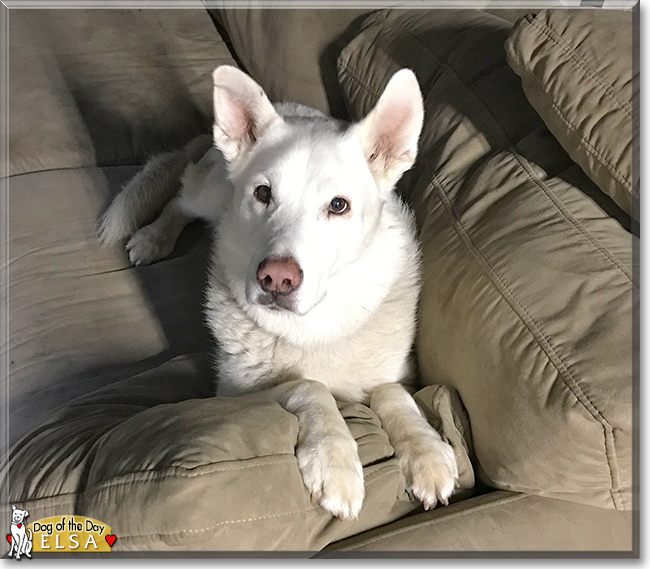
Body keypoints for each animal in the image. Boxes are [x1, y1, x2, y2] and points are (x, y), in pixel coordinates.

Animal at [98, 65, 458, 520]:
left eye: (338, 206)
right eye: (263, 193)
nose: (276, 279)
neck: (315, 324)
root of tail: (290, 105)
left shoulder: (399, 378)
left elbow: (392, 394)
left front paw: (425, 450)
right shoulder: (236, 392)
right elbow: (309, 386)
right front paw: (333, 459)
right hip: (212, 195)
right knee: (180, 198)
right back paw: (154, 237)